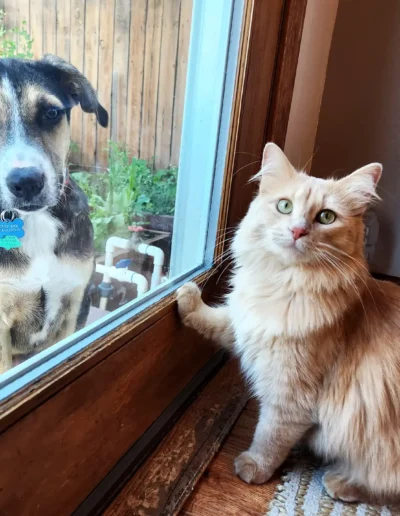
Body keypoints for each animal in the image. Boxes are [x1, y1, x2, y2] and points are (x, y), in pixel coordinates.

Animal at [177, 142, 400, 504]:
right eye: (285, 206)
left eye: (326, 217)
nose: (297, 230)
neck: (284, 284)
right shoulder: (246, 323)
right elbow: (214, 319)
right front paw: (186, 296)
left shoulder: (290, 392)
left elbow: (270, 436)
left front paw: (254, 467)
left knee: (380, 482)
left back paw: (341, 483)